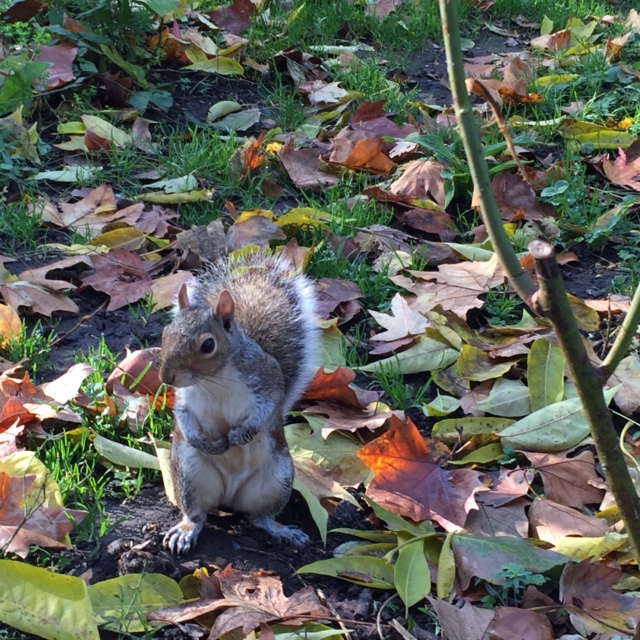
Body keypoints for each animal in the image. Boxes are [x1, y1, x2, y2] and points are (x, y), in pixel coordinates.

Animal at [159, 251, 318, 556]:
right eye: (165, 333)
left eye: (208, 345)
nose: (165, 377)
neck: (213, 379)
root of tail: (229, 497)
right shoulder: (185, 399)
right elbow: (183, 417)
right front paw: (204, 441)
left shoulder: (268, 382)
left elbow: (268, 410)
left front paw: (241, 435)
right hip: (190, 475)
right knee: (197, 514)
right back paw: (186, 530)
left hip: (276, 480)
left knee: (259, 517)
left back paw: (283, 531)